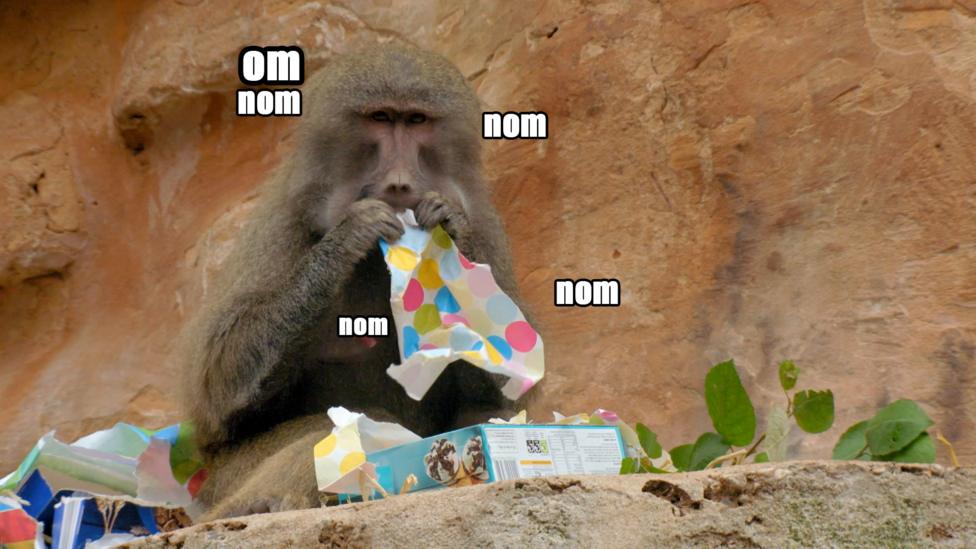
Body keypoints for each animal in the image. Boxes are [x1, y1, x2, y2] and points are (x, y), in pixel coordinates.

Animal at [181, 44, 534, 520]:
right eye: (381, 118)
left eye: (416, 120)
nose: (400, 183)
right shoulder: (281, 224)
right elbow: (218, 389)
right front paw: (349, 236)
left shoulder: (485, 228)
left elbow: (509, 381)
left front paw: (445, 222)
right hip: (225, 478)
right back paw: (257, 505)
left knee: (487, 412)